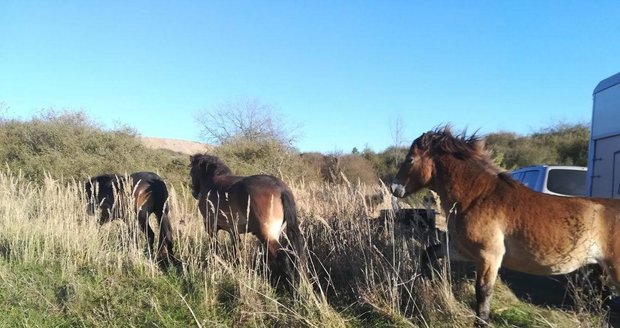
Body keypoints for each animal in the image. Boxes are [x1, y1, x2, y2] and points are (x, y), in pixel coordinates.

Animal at [189, 154, 306, 284]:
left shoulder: (210, 226)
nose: (194, 191)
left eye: (191, 172)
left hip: (266, 235)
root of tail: (281, 188)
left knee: (282, 256)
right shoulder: (233, 230)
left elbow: (214, 248)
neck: (212, 181)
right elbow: (236, 248)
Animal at [390, 125, 620, 326]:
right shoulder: (462, 250)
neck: (477, 197)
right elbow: (429, 253)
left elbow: (483, 294)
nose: (394, 188)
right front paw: (427, 282)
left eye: (410, 159)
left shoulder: (489, 256)